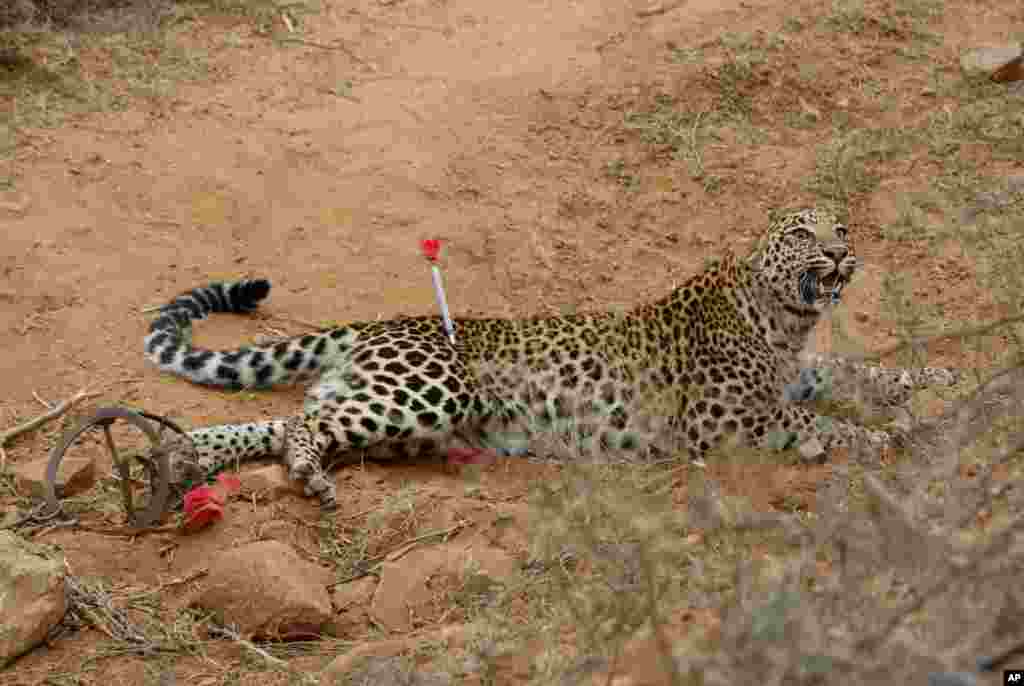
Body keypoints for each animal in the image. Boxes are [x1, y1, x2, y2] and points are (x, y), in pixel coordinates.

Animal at [144, 208, 959, 508]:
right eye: (801, 232)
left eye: (840, 226)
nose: (841, 253)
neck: (783, 319)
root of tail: (380, 324)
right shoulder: (724, 422)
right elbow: (821, 423)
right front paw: (890, 434)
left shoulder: (802, 373)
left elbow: (859, 373)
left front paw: (933, 379)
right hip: (427, 391)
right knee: (300, 429)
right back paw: (305, 475)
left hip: (394, 412)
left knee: (282, 423)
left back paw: (188, 458)